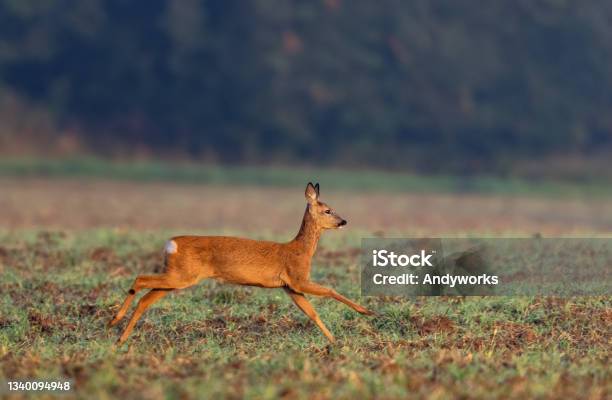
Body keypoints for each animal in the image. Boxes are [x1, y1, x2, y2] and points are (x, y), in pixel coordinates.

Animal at [109, 182, 372, 344]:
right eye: (328, 210)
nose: (344, 221)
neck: (299, 250)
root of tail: (170, 244)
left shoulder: (290, 287)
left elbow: (312, 313)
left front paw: (335, 342)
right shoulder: (298, 278)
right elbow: (329, 290)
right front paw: (365, 311)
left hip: (177, 277)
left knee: (146, 297)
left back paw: (120, 337)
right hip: (182, 275)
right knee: (140, 279)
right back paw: (115, 320)